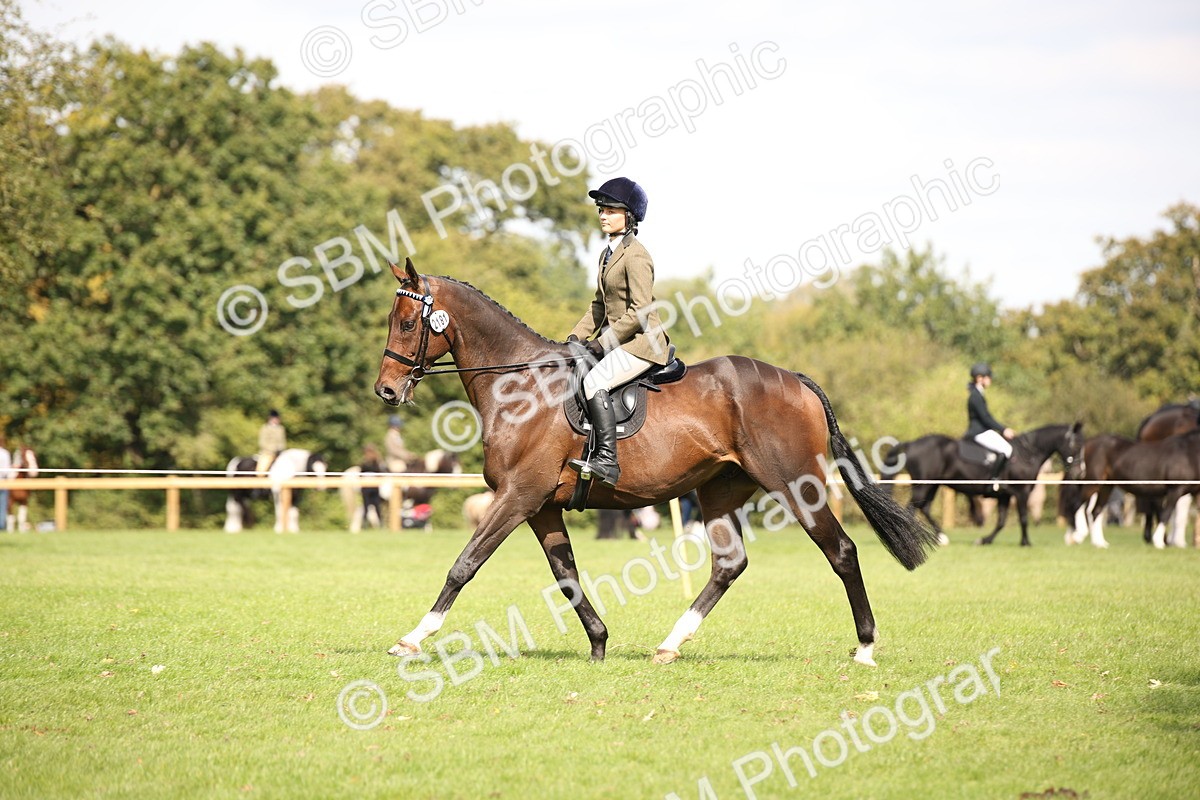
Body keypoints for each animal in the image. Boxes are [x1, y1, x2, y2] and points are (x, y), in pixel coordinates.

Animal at [372, 259, 939, 667]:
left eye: (407, 322)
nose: (386, 391)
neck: (520, 386)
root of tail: (795, 379)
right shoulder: (541, 506)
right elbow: (566, 574)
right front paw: (599, 643)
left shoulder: (518, 496)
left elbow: (464, 565)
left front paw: (412, 638)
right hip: (719, 490)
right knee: (729, 564)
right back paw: (670, 644)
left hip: (795, 483)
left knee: (840, 550)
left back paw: (865, 647)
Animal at [884, 424, 1085, 547]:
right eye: (1076, 445)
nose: (1079, 472)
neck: (1026, 454)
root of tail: (911, 444)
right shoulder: (1022, 493)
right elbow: (1023, 518)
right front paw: (1026, 543)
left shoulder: (1005, 496)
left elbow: (1001, 522)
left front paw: (984, 540)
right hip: (923, 484)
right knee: (912, 508)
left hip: (932, 485)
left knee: (923, 507)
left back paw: (941, 537)